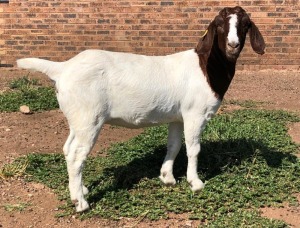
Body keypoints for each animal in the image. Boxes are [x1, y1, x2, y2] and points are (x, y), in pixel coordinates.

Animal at [17, 6, 264, 212]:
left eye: (245, 24)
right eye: (220, 24)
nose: (233, 46)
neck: (205, 68)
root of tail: (63, 69)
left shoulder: (178, 116)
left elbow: (174, 145)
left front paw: (167, 177)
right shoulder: (195, 114)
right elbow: (193, 149)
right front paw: (195, 182)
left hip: (77, 118)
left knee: (68, 149)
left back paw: (80, 189)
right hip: (89, 118)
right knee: (77, 155)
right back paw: (81, 203)